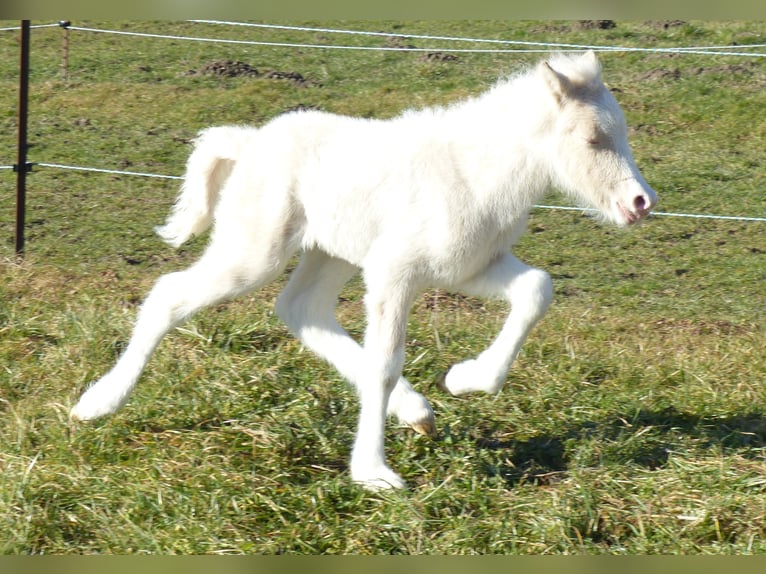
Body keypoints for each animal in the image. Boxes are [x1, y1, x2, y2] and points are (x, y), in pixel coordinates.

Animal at [71, 51, 658, 490]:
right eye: (592, 138)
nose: (640, 203)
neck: (473, 173)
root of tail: (251, 141)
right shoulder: (395, 272)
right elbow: (384, 363)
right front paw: (373, 473)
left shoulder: (466, 267)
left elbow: (537, 288)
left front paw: (465, 379)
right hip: (256, 250)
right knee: (171, 294)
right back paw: (97, 403)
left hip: (330, 251)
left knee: (301, 310)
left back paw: (417, 410)